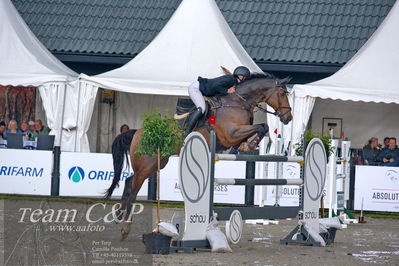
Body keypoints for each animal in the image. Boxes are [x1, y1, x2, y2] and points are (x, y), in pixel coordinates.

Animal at [106, 72, 294, 239]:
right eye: (282, 94)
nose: (288, 118)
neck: (238, 102)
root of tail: (138, 131)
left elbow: (262, 128)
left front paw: (248, 145)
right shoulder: (230, 134)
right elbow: (261, 127)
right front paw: (251, 144)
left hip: (157, 163)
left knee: (129, 181)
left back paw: (118, 215)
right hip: (147, 163)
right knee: (133, 189)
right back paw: (125, 228)